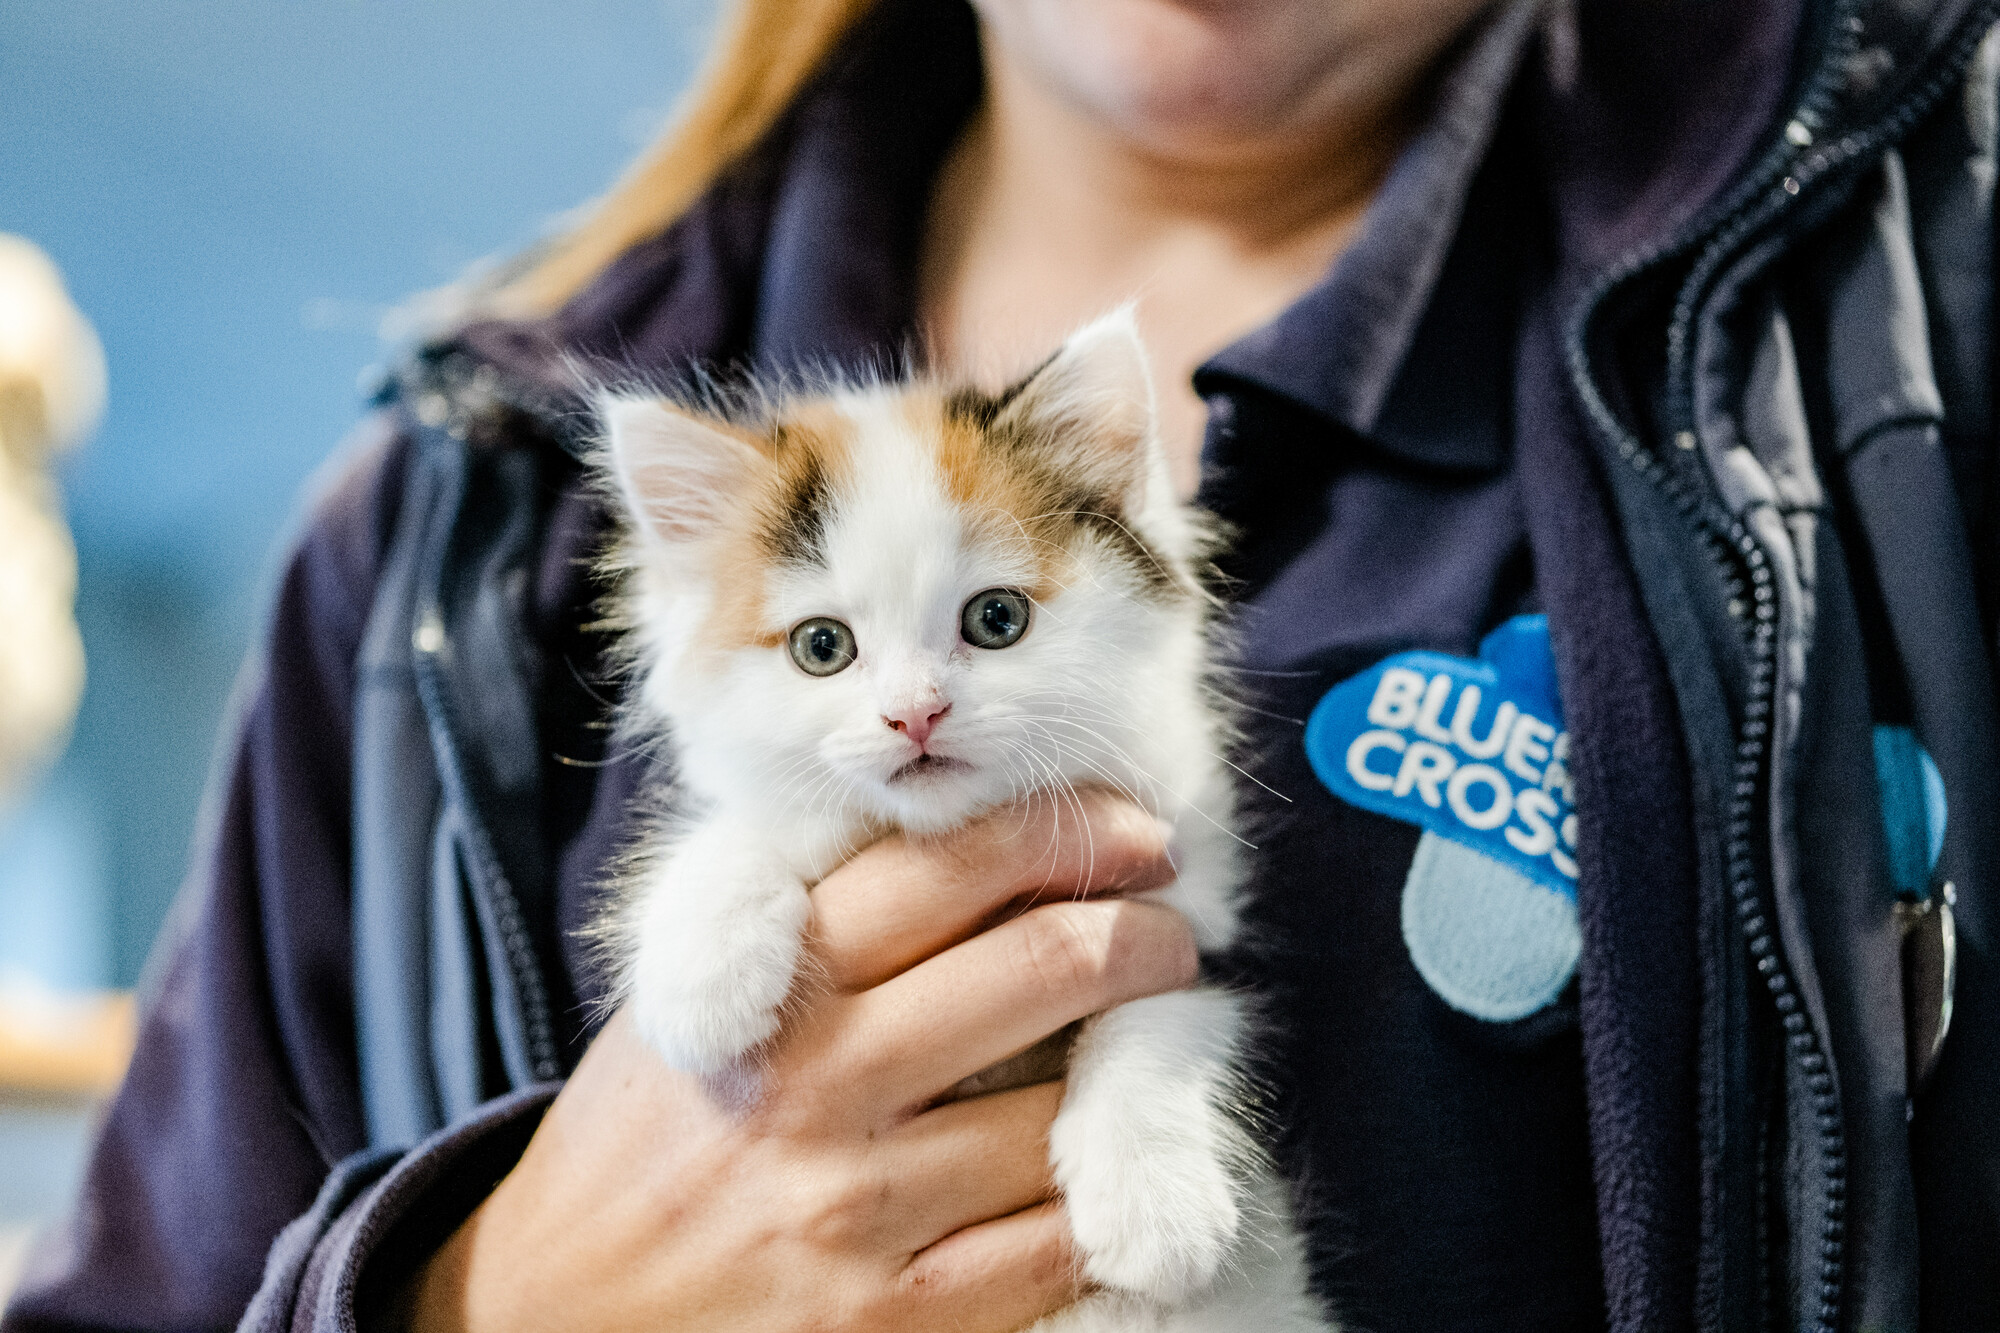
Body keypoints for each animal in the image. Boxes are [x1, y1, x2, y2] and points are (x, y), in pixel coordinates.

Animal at [600, 314, 1336, 1328]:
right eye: (822, 646)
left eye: (995, 619)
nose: (915, 714)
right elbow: (749, 825)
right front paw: (701, 977)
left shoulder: (1199, 913)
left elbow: (1156, 1006)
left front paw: (1155, 1203)